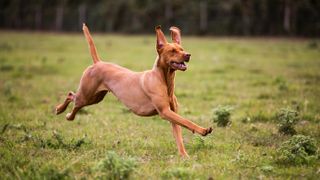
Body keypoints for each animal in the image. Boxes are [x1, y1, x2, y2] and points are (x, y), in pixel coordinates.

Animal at [55, 23, 212, 156]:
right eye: (173, 51)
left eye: (182, 49)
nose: (188, 55)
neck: (163, 80)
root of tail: (98, 63)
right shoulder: (164, 111)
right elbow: (187, 121)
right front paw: (203, 130)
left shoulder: (172, 112)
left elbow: (179, 132)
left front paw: (184, 155)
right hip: (86, 96)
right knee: (71, 96)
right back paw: (62, 111)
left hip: (95, 98)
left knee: (74, 99)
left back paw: (67, 114)